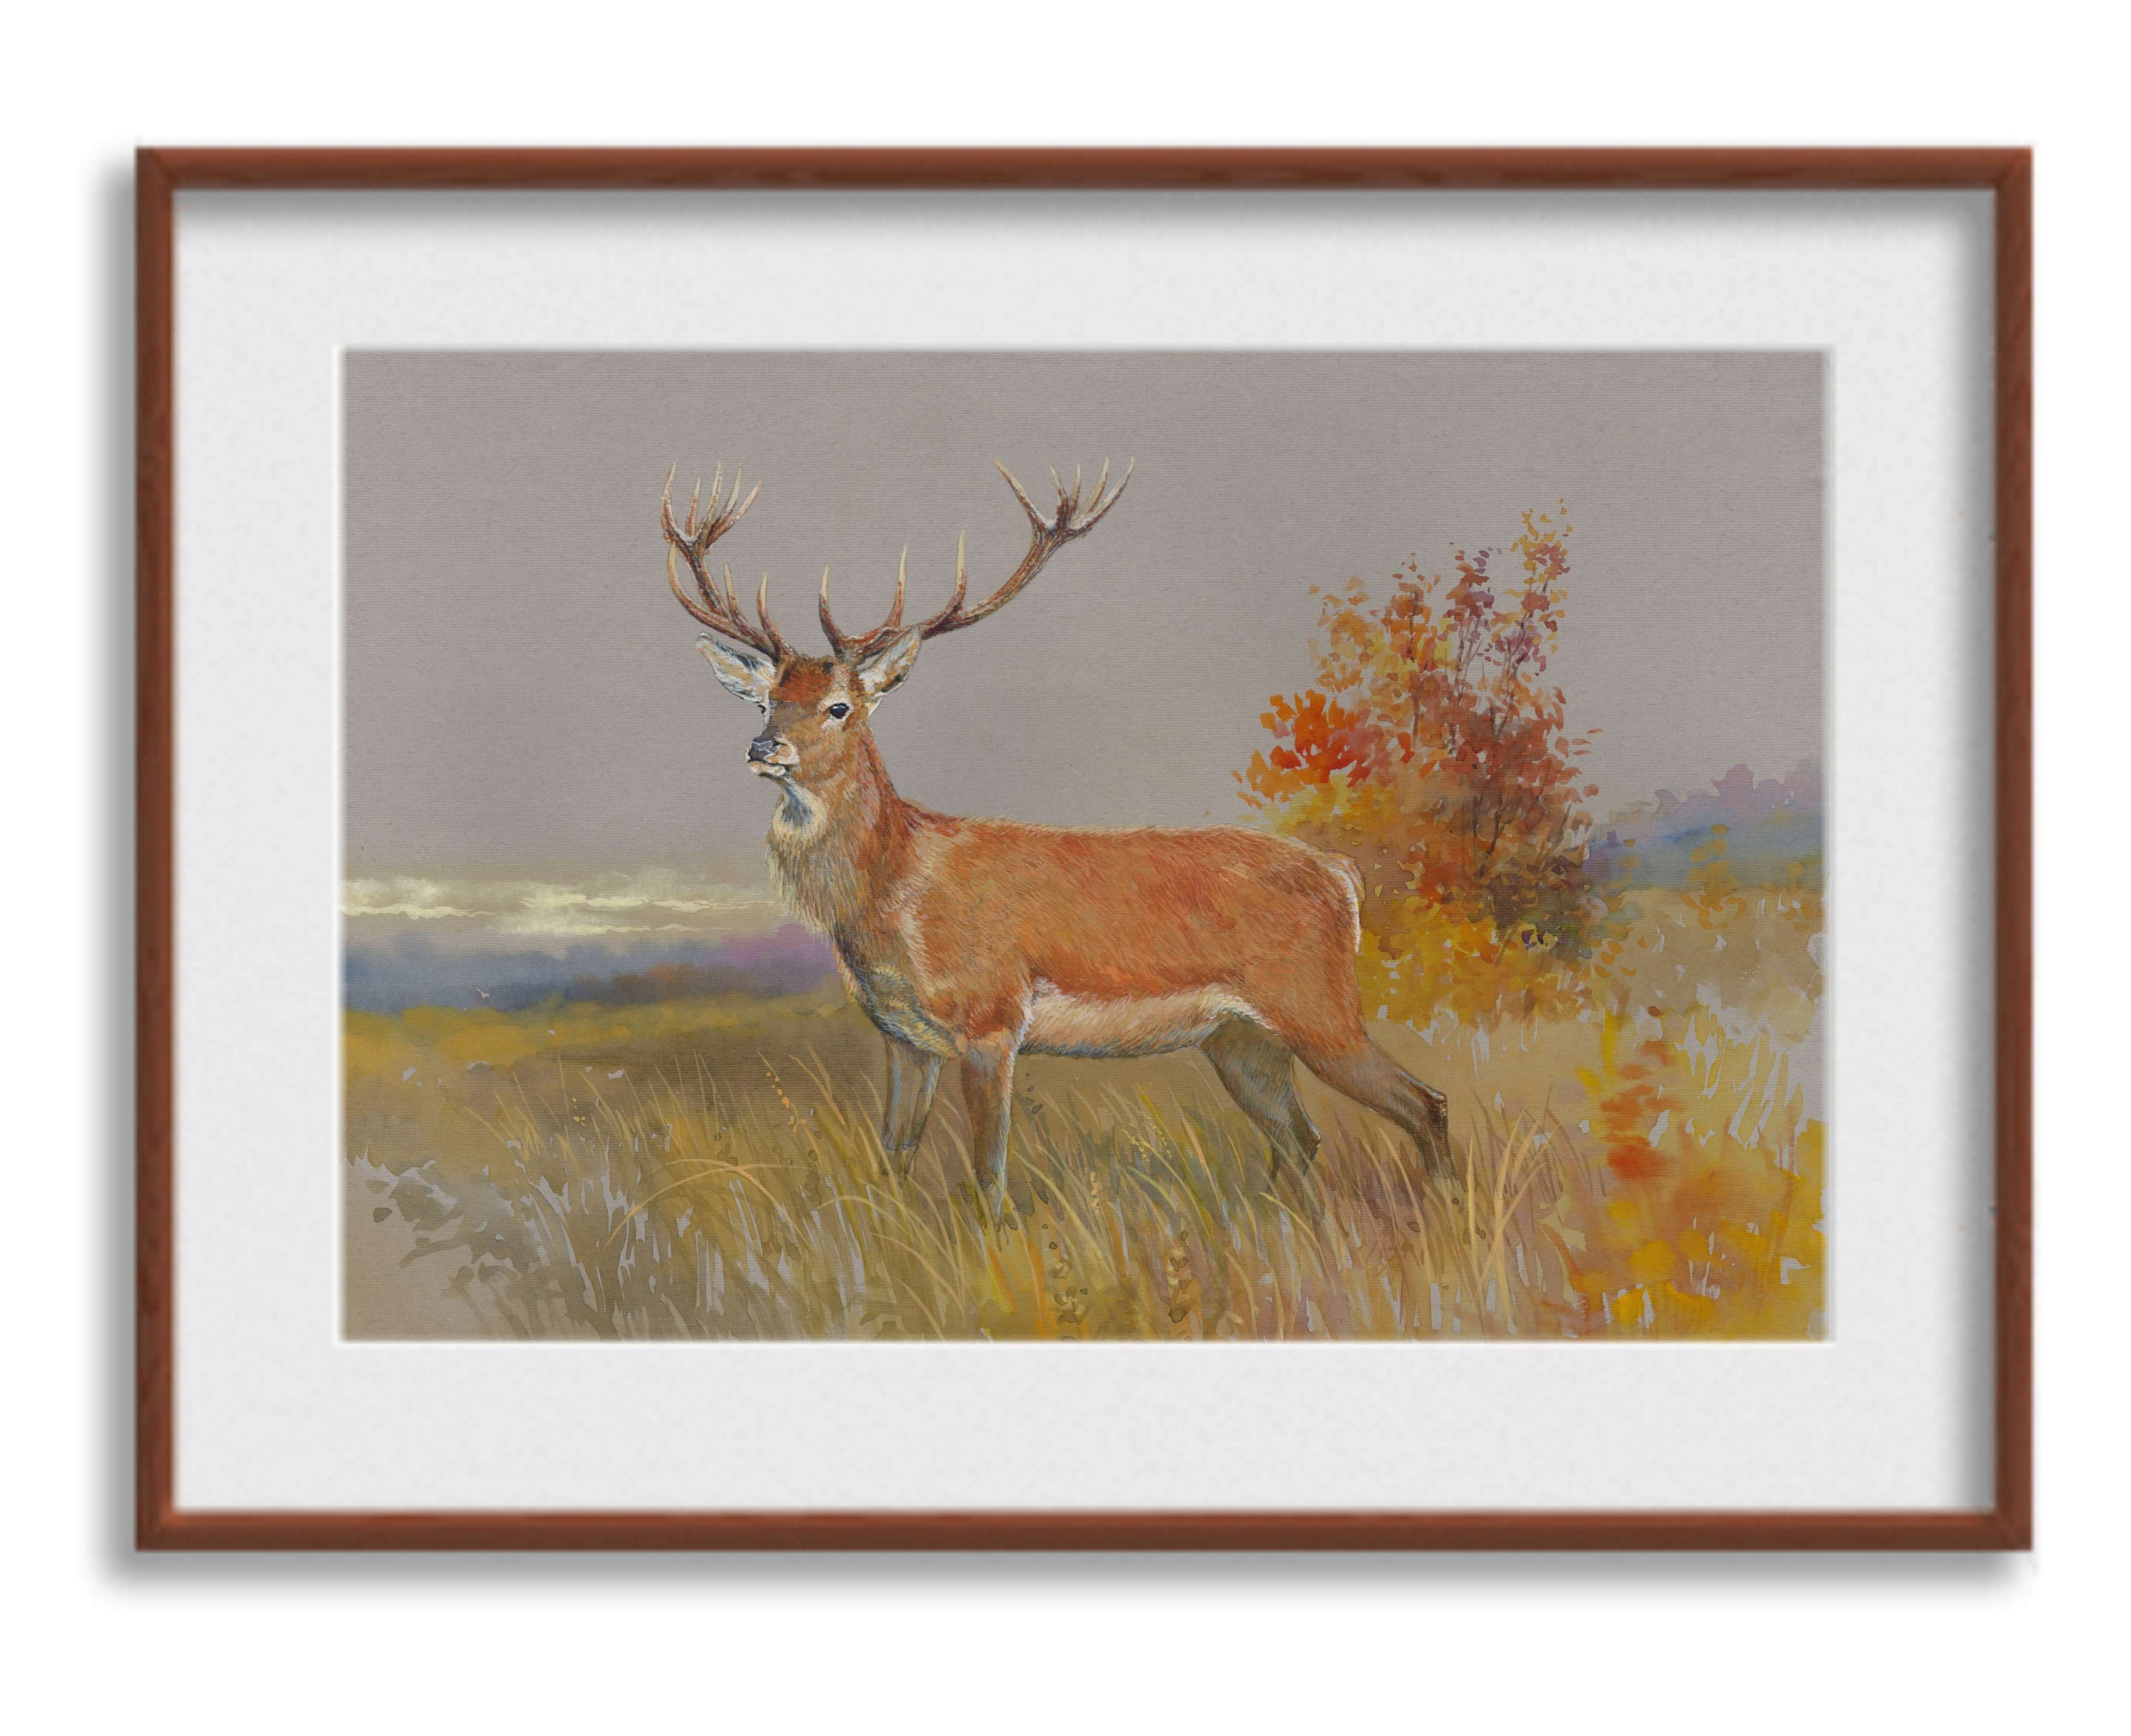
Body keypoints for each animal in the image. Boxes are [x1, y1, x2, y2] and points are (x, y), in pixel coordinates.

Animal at [659, 457, 1454, 1218]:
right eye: (767, 699)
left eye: (839, 706)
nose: (765, 748)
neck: (897, 890)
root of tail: (1343, 875)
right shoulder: (905, 1038)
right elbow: (894, 1159)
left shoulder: (991, 1018)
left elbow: (988, 1172)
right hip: (1241, 1039)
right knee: (1301, 1135)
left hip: (1319, 1007)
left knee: (1425, 1104)